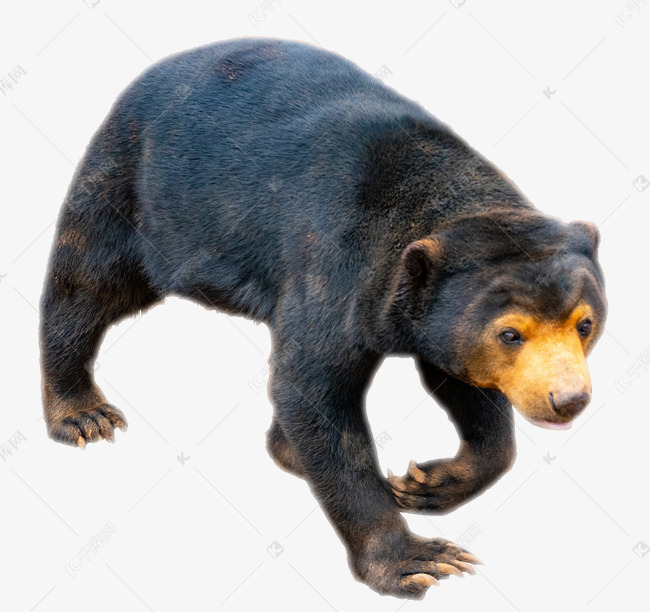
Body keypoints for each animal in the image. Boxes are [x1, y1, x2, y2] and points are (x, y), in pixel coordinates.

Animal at [39, 38, 607, 599]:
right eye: (510, 333)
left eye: (585, 324)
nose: (569, 400)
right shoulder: (336, 262)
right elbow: (312, 390)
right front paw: (417, 560)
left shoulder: (421, 312)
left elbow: (458, 378)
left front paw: (427, 483)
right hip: (135, 187)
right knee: (87, 283)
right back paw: (82, 414)